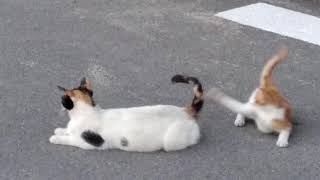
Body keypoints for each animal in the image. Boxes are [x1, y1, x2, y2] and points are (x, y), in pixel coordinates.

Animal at [48, 74, 204, 152]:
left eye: (62, 100)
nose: (60, 104)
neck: (87, 111)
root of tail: (186, 111)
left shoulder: (90, 143)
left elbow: (70, 139)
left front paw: (55, 138)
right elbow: (67, 130)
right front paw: (60, 130)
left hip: (171, 142)